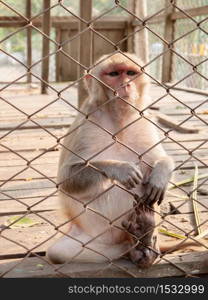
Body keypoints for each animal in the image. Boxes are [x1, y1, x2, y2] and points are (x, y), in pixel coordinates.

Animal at [46, 51, 205, 268]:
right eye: (114, 74)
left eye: (130, 73)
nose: (126, 85)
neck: (118, 121)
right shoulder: (85, 122)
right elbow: (66, 179)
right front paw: (120, 169)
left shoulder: (143, 119)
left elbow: (159, 159)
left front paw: (161, 173)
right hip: (91, 238)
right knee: (58, 253)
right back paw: (135, 246)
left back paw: (144, 237)